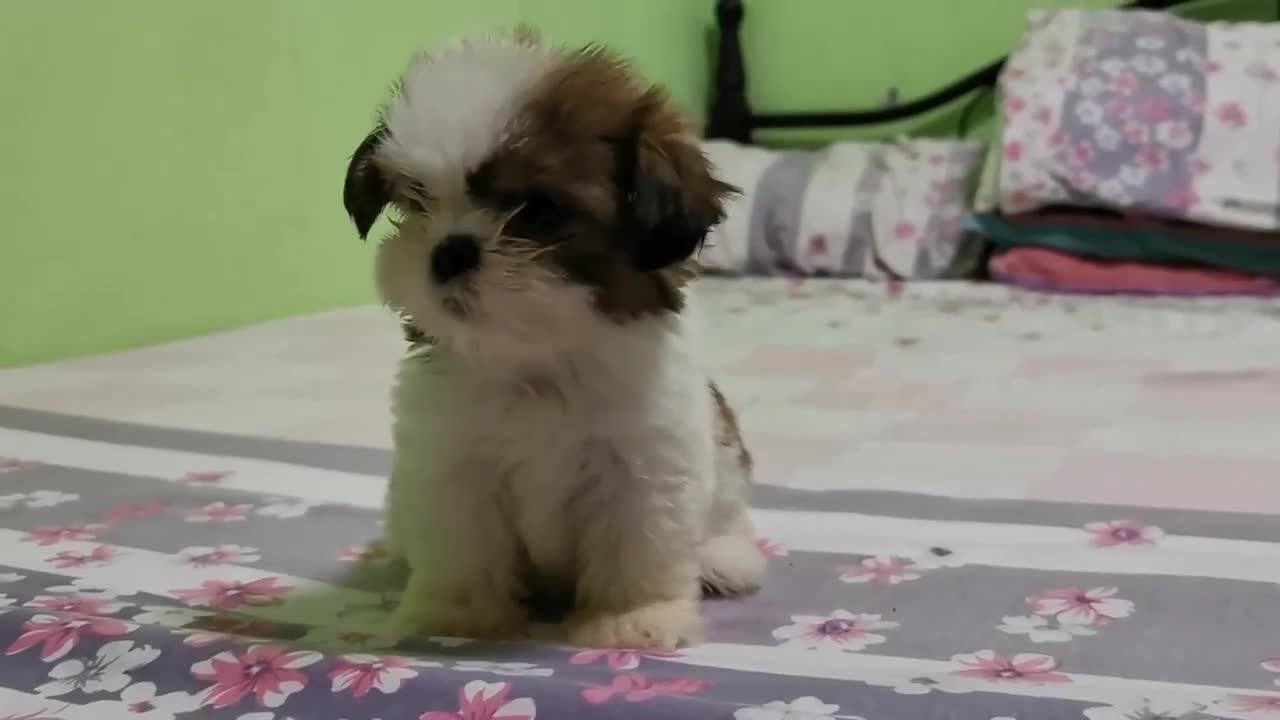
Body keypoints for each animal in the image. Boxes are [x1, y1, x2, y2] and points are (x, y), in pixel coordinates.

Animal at [340, 28, 762, 648]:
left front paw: (632, 618)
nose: (450, 250)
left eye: (538, 210)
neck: (538, 360)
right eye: (417, 201)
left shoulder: (643, 467)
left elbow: (635, 547)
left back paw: (724, 558)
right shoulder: (451, 462)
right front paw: (456, 614)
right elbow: (462, 544)